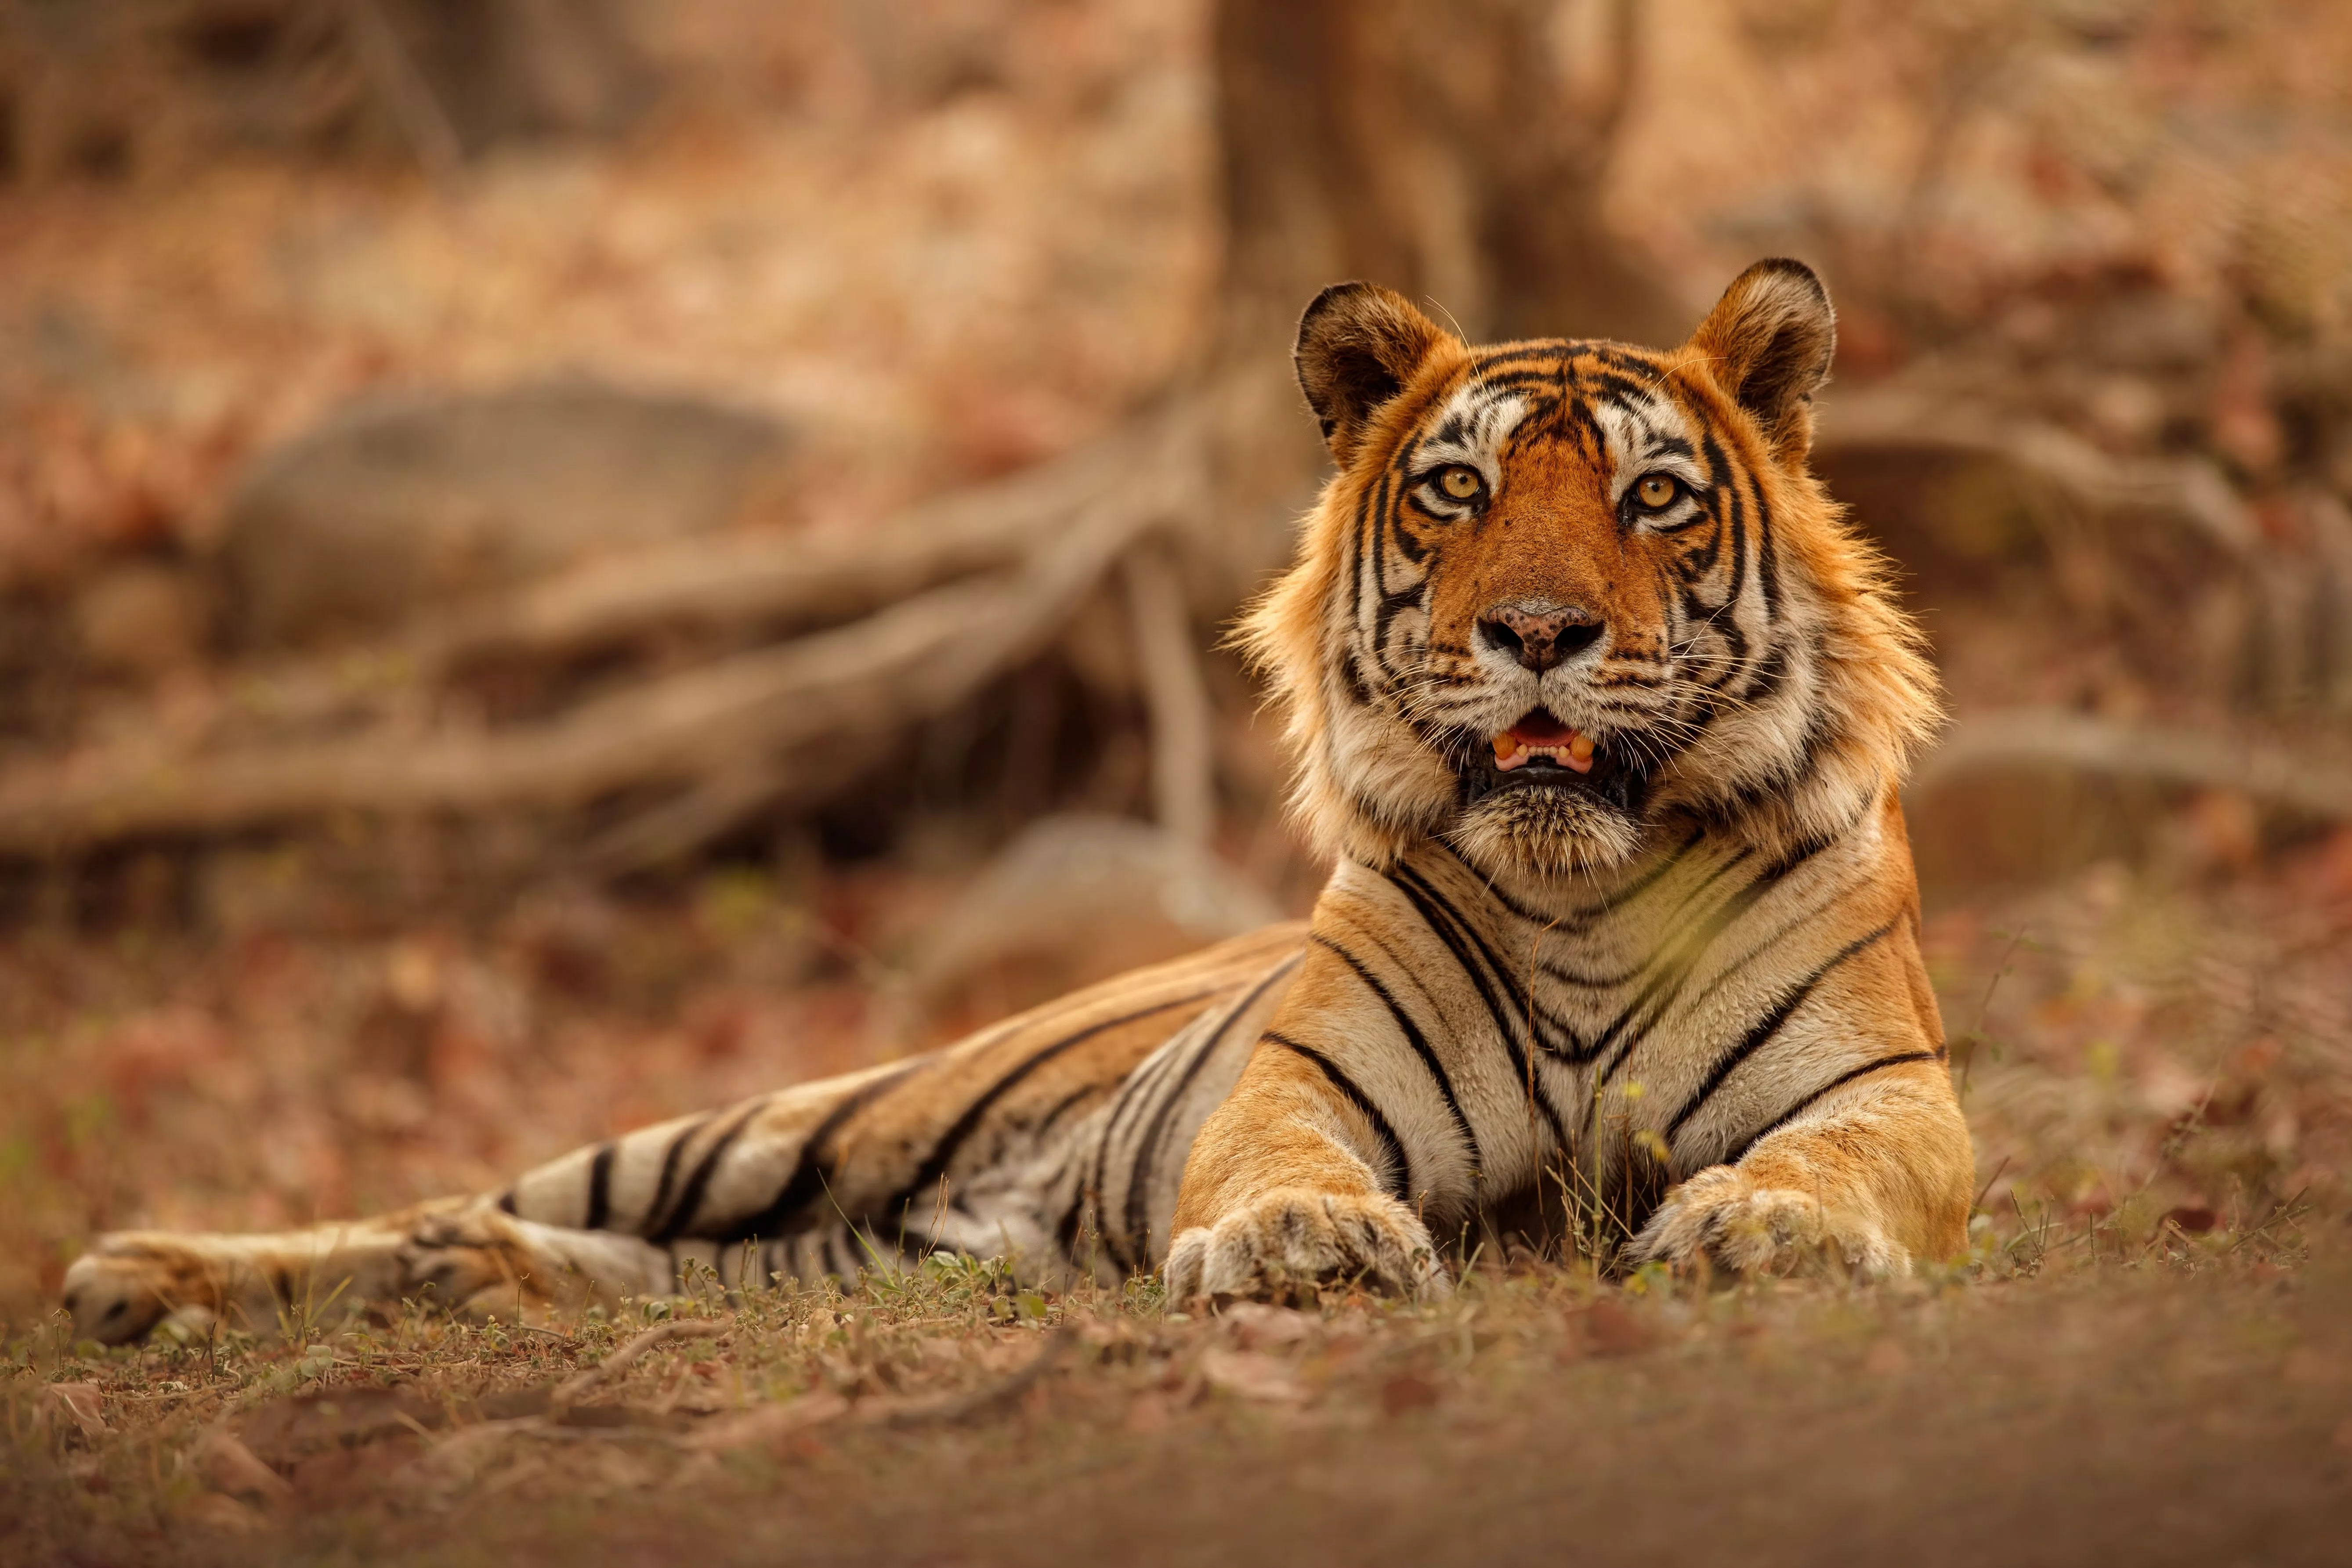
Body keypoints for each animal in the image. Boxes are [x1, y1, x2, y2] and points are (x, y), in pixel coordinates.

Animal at [59, 258, 1972, 1345]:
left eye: (1652, 498)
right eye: (1455, 491)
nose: (1539, 633)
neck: (1579, 890)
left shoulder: (1892, 1097)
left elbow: (1838, 1156)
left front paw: (1769, 1228)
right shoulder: (1293, 1083)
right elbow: (1279, 1158)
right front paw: (1300, 1242)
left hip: (863, 1244)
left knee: (619, 1263)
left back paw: (470, 1289)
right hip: (783, 1122)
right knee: (462, 1196)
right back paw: (149, 1274)